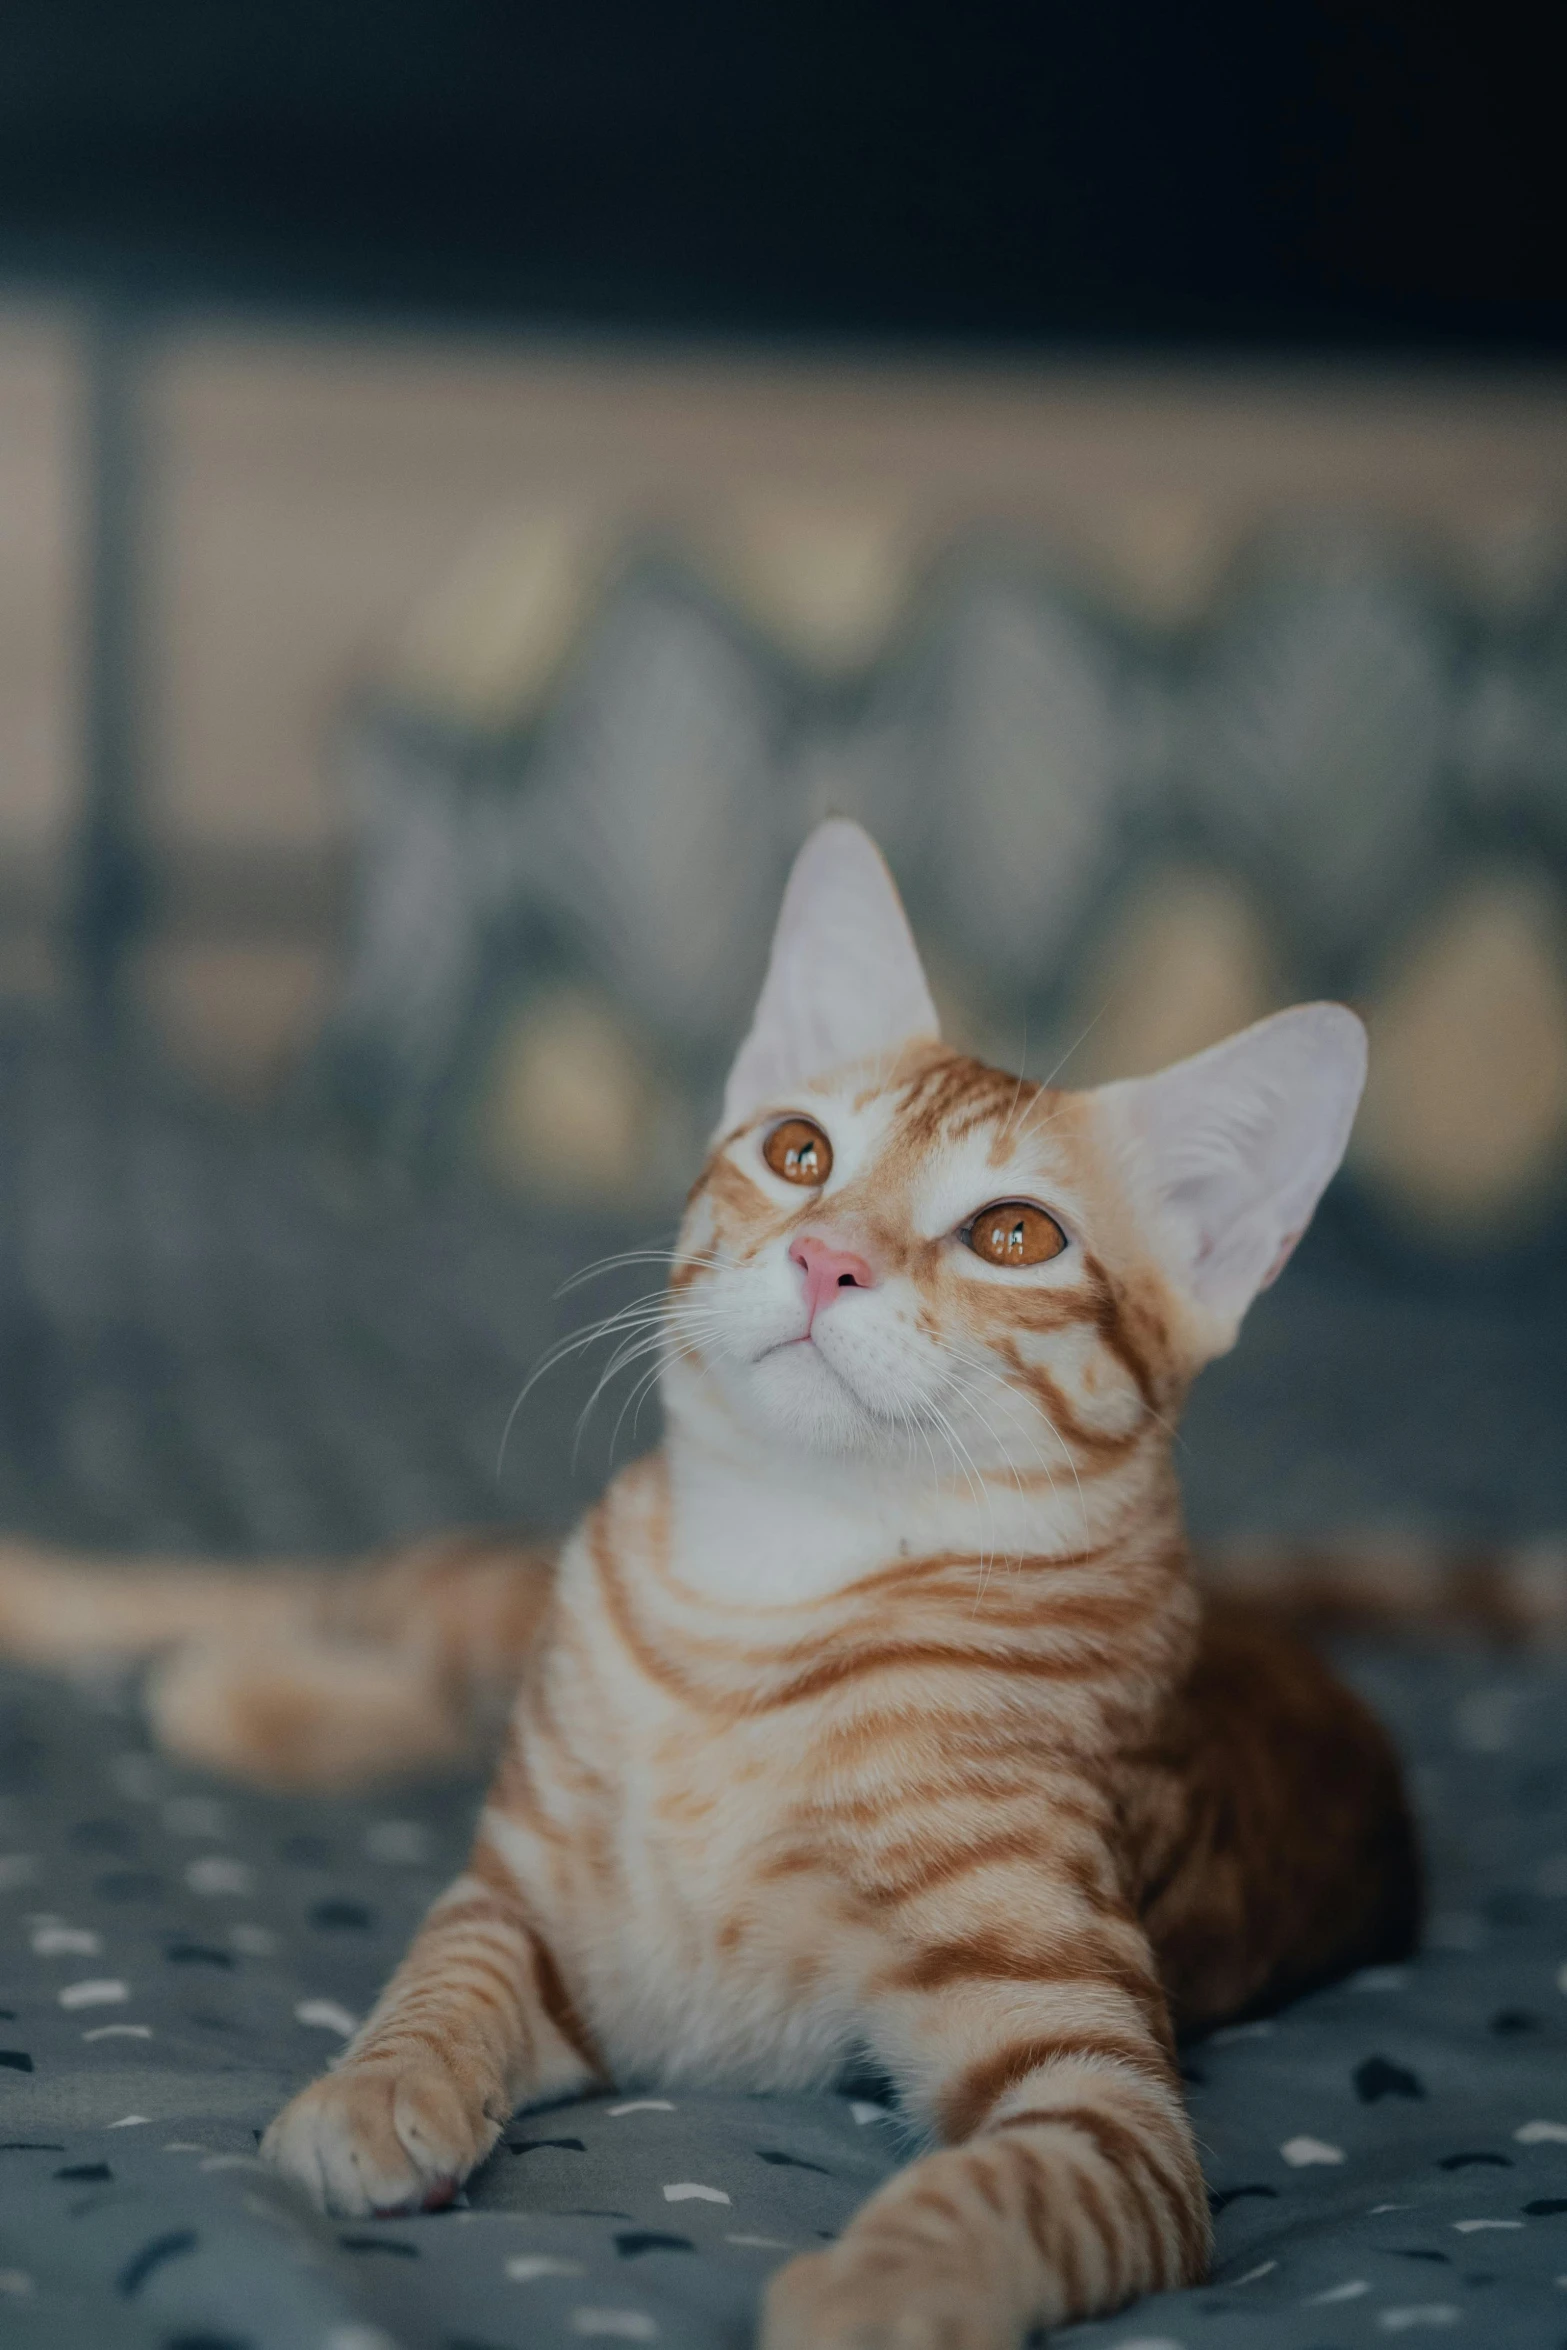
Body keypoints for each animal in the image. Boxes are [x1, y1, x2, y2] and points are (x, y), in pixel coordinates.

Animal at [0, 817, 1418, 2340]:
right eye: (800, 1152)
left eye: (1014, 1235)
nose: (825, 1252)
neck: (760, 1596)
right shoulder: (528, 1906)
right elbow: (446, 1969)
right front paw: (377, 2086)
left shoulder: (1098, 2087)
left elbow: (1014, 2183)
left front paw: (874, 2287)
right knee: (328, 1595)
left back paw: (235, 1697)